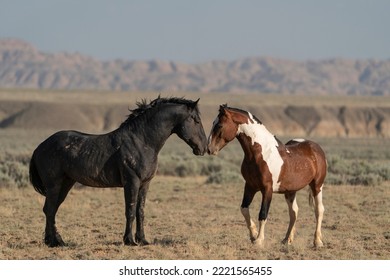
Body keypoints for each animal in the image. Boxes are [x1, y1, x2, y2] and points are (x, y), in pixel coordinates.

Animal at [29, 96, 209, 247]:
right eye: (196, 120)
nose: (203, 148)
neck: (142, 141)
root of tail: (40, 147)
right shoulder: (132, 182)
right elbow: (130, 210)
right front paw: (129, 240)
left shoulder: (145, 184)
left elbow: (140, 211)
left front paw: (142, 240)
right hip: (54, 184)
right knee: (50, 209)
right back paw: (53, 242)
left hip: (66, 183)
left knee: (51, 209)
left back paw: (57, 241)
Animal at [207, 104, 326, 247]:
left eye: (219, 125)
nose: (209, 149)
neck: (259, 154)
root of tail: (315, 147)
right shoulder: (250, 186)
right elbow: (244, 209)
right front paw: (253, 235)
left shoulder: (267, 189)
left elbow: (263, 214)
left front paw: (259, 240)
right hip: (290, 191)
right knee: (294, 212)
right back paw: (287, 239)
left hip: (317, 186)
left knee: (319, 210)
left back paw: (317, 241)